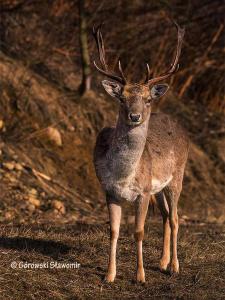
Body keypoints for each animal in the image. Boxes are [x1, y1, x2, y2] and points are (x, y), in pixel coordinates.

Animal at [92, 22, 189, 282]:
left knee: (175, 218)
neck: (124, 176)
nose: (134, 116)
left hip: (177, 177)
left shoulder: (143, 192)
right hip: (159, 187)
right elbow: (114, 231)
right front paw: (109, 275)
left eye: (147, 99)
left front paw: (140, 276)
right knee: (165, 215)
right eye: (122, 98)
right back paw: (163, 262)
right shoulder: (109, 191)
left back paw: (174, 266)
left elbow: (139, 232)